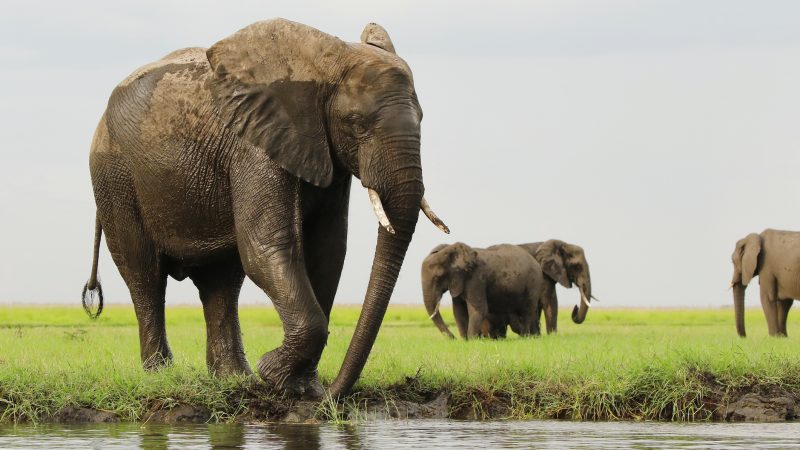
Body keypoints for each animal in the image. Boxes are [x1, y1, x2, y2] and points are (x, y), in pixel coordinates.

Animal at [80, 18, 450, 398]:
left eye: (422, 118)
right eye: (357, 123)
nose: (329, 393)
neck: (323, 63)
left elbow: (327, 251)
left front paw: (300, 387)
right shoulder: (254, 146)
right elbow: (267, 245)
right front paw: (277, 376)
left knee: (222, 282)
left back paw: (234, 379)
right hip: (114, 175)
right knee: (145, 275)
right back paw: (161, 376)